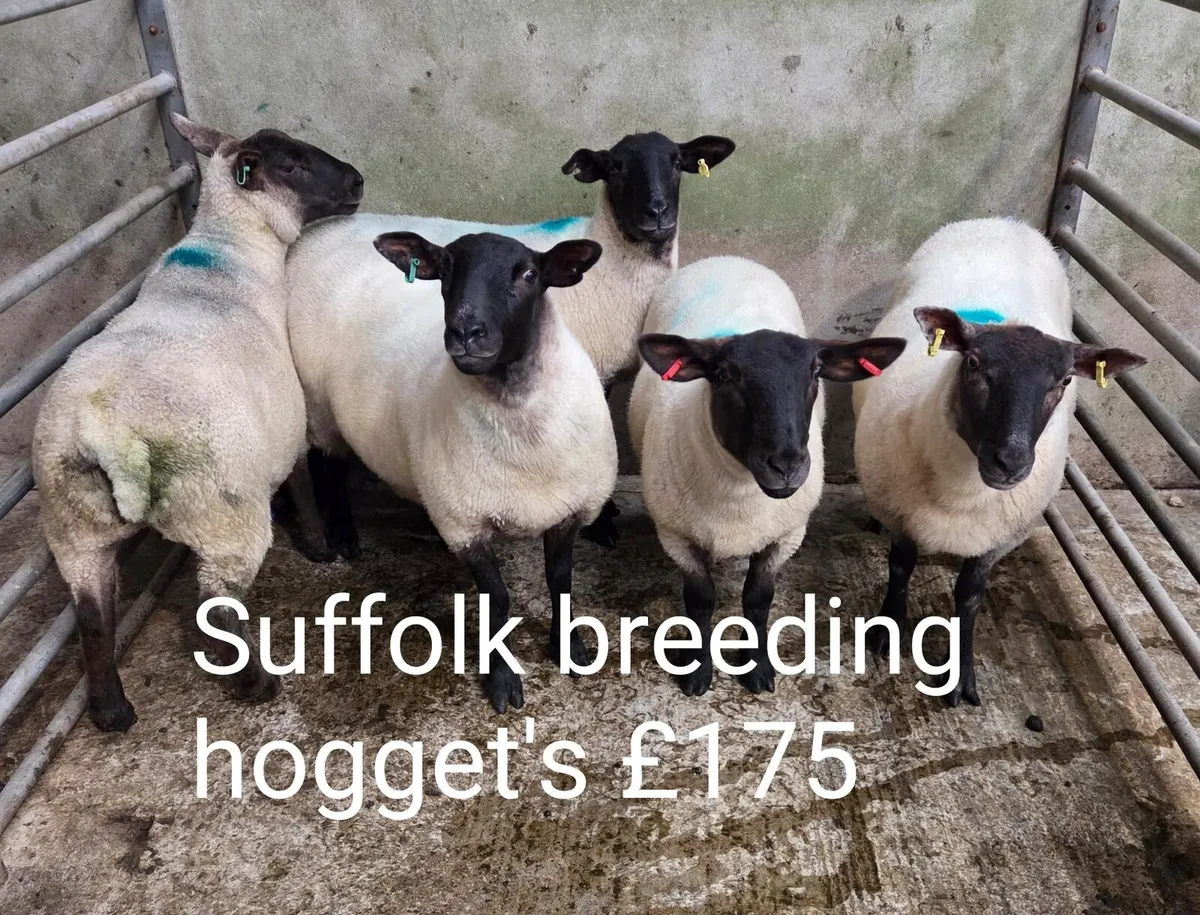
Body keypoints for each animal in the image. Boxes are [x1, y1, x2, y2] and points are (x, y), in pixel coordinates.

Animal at [31, 114, 363, 732]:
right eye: (292, 164)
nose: (357, 181)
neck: (229, 251)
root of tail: (106, 435)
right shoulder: (286, 425)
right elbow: (303, 482)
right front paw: (319, 544)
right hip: (222, 512)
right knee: (217, 602)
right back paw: (257, 683)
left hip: (73, 529)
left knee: (92, 614)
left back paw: (113, 712)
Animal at [286, 131, 736, 553]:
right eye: (616, 167)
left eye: (677, 162)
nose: (657, 213)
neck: (613, 268)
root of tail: (310, 236)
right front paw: (602, 524)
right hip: (316, 389)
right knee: (326, 459)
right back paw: (340, 536)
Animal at [287, 228, 618, 713]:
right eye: (444, 271)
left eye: (529, 274)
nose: (465, 331)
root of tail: (322, 231)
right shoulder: (464, 524)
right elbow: (497, 601)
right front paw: (502, 681)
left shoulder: (569, 510)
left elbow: (561, 582)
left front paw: (571, 650)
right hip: (317, 406)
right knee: (325, 464)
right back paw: (343, 537)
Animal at [630, 256, 907, 696]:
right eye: (724, 375)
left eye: (815, 372)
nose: (787, 465)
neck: (739, 496)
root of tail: (728, 259)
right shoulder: (676, 536)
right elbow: (700, 601)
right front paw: (697, 670)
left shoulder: (785, 535)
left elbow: (758, 599)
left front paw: (757, 667)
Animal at [852, 217, 1147, 707]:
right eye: (973, 363)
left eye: (1064, 380)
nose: (1010, 461)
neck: (962, 496)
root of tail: (1006, 221)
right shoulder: (900, 514)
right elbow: (900, 569)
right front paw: (887, 633)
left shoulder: (999, 537)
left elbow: (969, 597)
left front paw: (960, 675)